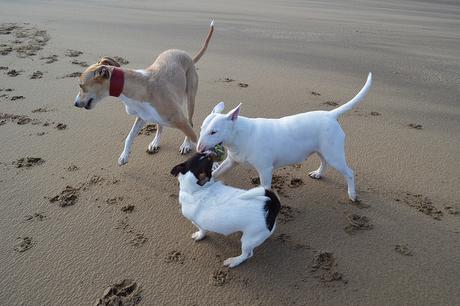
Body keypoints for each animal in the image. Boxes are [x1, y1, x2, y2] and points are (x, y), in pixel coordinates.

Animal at [73, 20, 214, 165]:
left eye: (81, 85)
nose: (75, 103)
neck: (137, 88)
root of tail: (187, 55)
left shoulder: (180, 120)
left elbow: (198, 143)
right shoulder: (142, 117)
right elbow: (129, 136)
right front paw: (124, 156)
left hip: (190, 97)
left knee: (190, 121)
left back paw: (185, 145)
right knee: (160, 126)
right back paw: (155, 142)